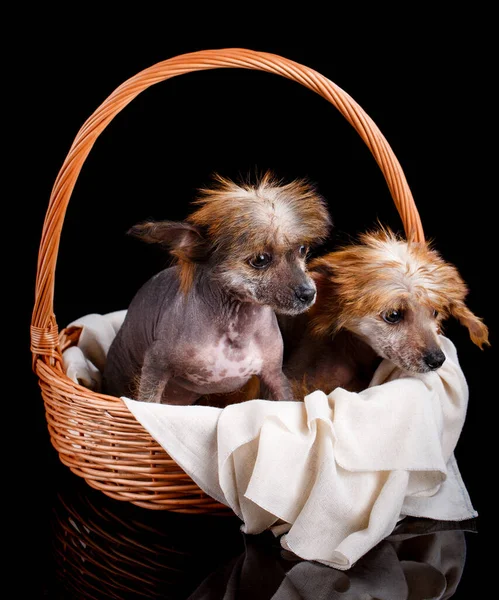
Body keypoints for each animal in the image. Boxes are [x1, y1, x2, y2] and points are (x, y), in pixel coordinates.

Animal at [102, 173, 332, 408]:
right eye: (260, 259)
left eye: (302, 250)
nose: (309, 293)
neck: (237, 326)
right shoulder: (155, 365)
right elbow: (149, 402)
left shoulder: (274, 376)